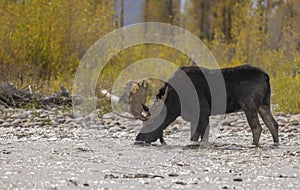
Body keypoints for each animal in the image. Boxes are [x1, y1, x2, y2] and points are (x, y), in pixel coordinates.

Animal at [129, 64, 278, 146]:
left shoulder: (203, 112)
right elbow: (196, 137)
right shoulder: (194, 117)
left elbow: (201, 137)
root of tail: (267, 76)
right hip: (264, 104)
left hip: (249, 105)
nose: (138, 139)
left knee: (257, 128)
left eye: (150, 123)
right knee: (273, 124)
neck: (177, 105)